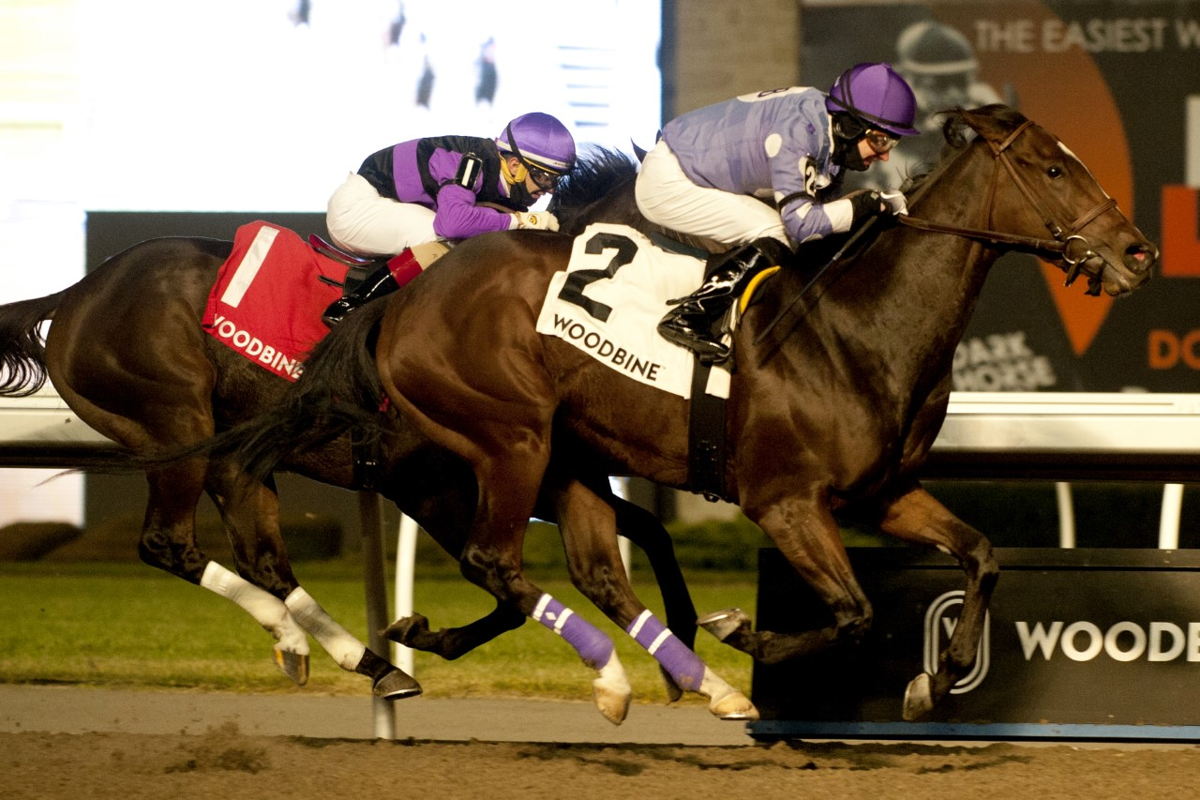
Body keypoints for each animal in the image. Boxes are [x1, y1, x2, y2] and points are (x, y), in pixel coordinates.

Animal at [0, 145, 700, 714]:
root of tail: (77, 293)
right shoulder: (436, 485)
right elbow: (505, 587)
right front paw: (425, 633)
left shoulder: (521, 472)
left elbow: (647, 530)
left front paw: (686, 648)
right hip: (172, 425)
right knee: (167, 543)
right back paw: (321, 643)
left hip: (234, 454)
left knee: (264, 561)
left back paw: (348, 658)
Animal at [213, 103, 1152, 724]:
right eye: (1054, 168)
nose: (1137, 252)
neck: (857, 325)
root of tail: (405, 294)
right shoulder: (784, 500)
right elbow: (854, 613)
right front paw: (746, 633)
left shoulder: (882, 493)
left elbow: (982, 556)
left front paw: (936, 676)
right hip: (507, 439)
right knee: (493, 558)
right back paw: (614, 675)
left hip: (564, 456)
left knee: (584, 570)